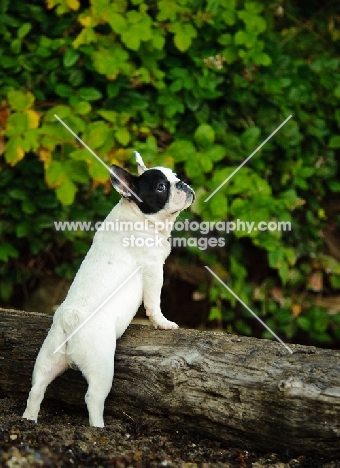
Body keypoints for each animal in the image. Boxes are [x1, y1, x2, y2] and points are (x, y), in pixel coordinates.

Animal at [23, 154, 194, 428]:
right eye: (161, 187)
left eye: (176, 177)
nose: (183, 184)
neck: (139, 217)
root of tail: (70, 320)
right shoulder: (153, 269)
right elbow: (154, 303)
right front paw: (163, 323)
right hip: (101, 365)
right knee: (93, 397)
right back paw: (98, 427)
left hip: (48, 358)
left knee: (37, 388)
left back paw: (29, 419)